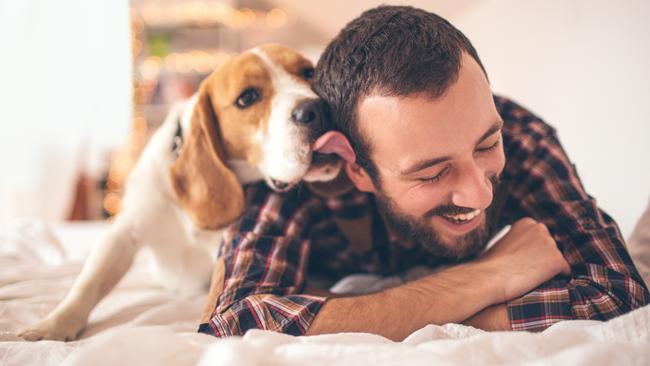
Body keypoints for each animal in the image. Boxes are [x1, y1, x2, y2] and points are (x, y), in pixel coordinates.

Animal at [19, 44, 344, 342]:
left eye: (308, 72)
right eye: (248, 97)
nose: (317, 109)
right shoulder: (124, 233)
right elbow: (89, 283)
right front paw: (52, 325)